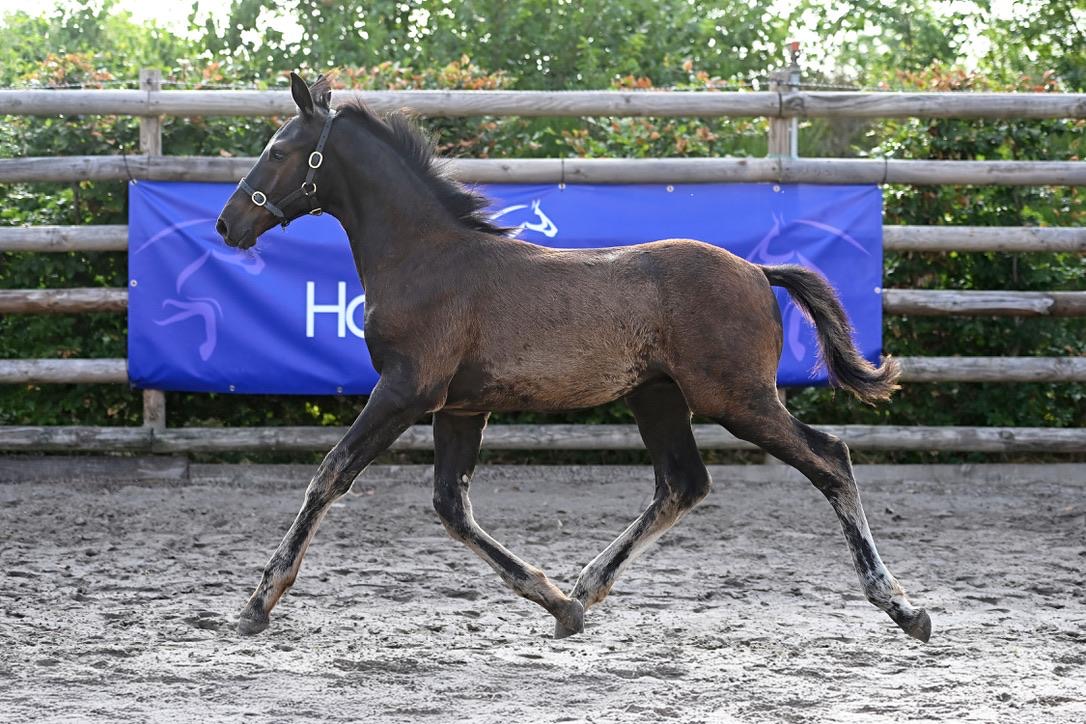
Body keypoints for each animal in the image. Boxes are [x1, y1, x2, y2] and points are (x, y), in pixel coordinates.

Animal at [215, 72, 931, 643]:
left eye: (278, 150)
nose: (227, 224)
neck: (427, 259)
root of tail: (758, 270)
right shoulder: (460, 407)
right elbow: (452, 508)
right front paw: (558, 604)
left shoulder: (405, 390)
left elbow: (330, 475)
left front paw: (257, 603)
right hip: (658, 396)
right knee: (683, 483)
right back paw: (586, 588)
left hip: (737, 398)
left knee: (829, 458)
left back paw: (902, 607)